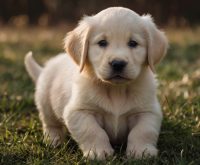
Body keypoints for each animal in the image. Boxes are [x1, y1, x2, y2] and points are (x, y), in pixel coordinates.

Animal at [24, 6, 167, 160]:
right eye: (102, 43)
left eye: (133, 43)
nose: (118, 63)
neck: (116, 90)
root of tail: (45, 68)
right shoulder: (78, 111)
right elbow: (93, 131)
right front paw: (99, 152)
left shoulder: (148, 111)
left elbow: (143, 131)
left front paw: (142, 152)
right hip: (45, 103)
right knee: (50, 124)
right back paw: (53, 139)